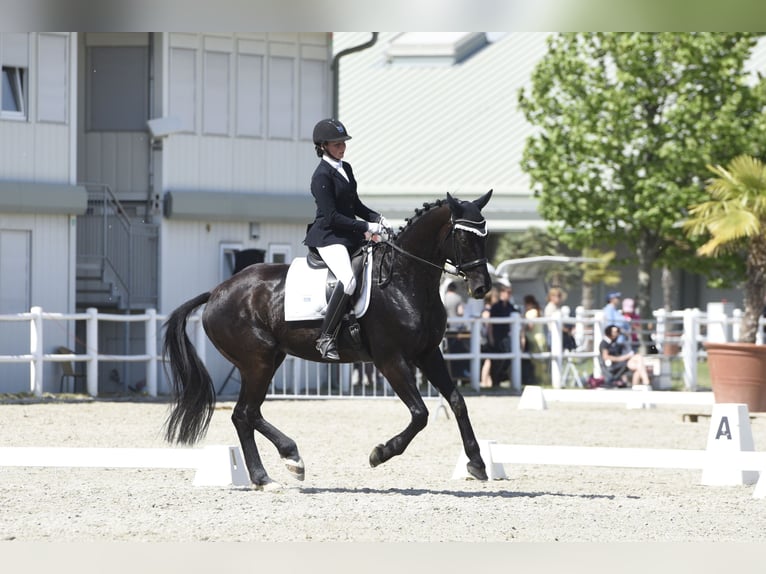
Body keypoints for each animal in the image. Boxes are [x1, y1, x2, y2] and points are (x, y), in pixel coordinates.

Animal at [165, 191, 496, 488]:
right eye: (463, 238)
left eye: (485, 235)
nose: (482, 288)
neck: (404, 279)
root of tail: (216, 292)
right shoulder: (390, 360)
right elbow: (420, 414)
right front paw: (380, 453)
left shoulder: (428, 353)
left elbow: (457, 402)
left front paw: (477, 464)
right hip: (257, 362)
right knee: (244, 414)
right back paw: (277, 467)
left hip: (268, 360)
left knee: (247, 413)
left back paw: (279, 466)